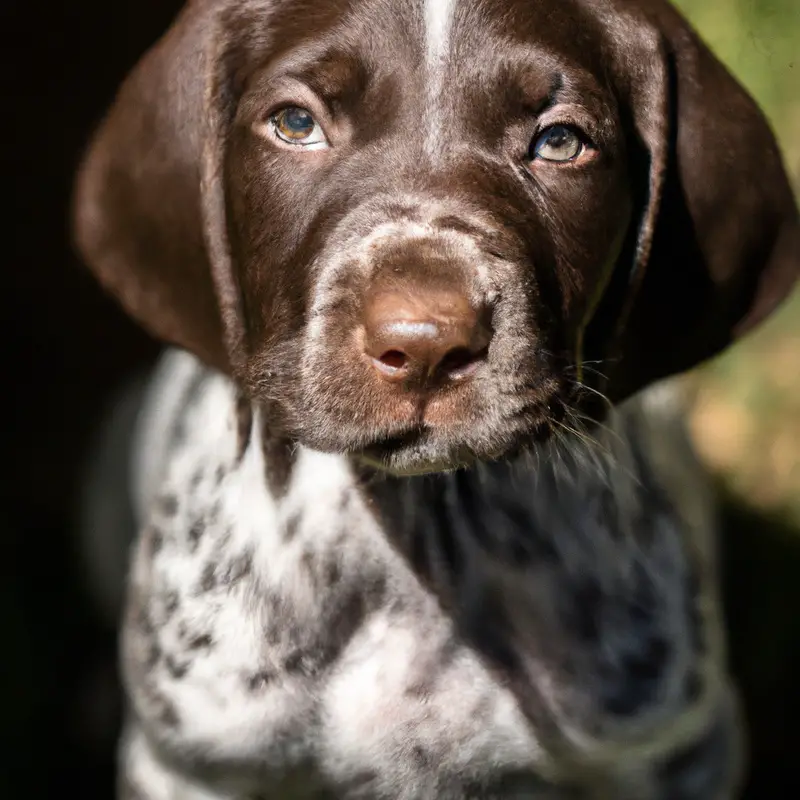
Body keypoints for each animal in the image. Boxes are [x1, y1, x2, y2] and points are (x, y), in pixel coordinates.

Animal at [72, 1, 796, 800]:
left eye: (560, 141)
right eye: (295, 123)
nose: (424, 343)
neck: (423, 535)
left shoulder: (675, 752)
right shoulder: (194, 766)